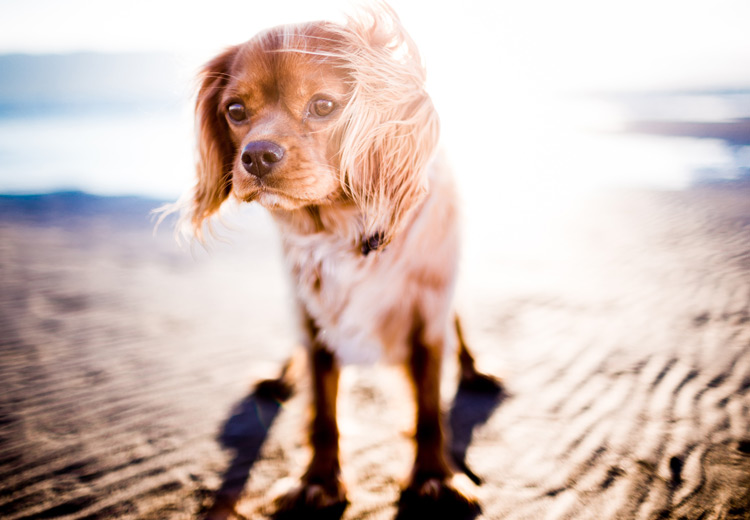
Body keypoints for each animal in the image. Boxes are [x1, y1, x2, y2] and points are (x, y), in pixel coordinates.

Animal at [168, 4, 502, 516]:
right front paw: (318, 482)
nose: (255, 157)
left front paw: (435, 478)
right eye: (235, 111)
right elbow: (323, 411)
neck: (342, 227)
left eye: (324, 106)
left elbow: (428, 407)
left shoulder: (427, 313)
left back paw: (474, 369)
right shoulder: (312, 315)